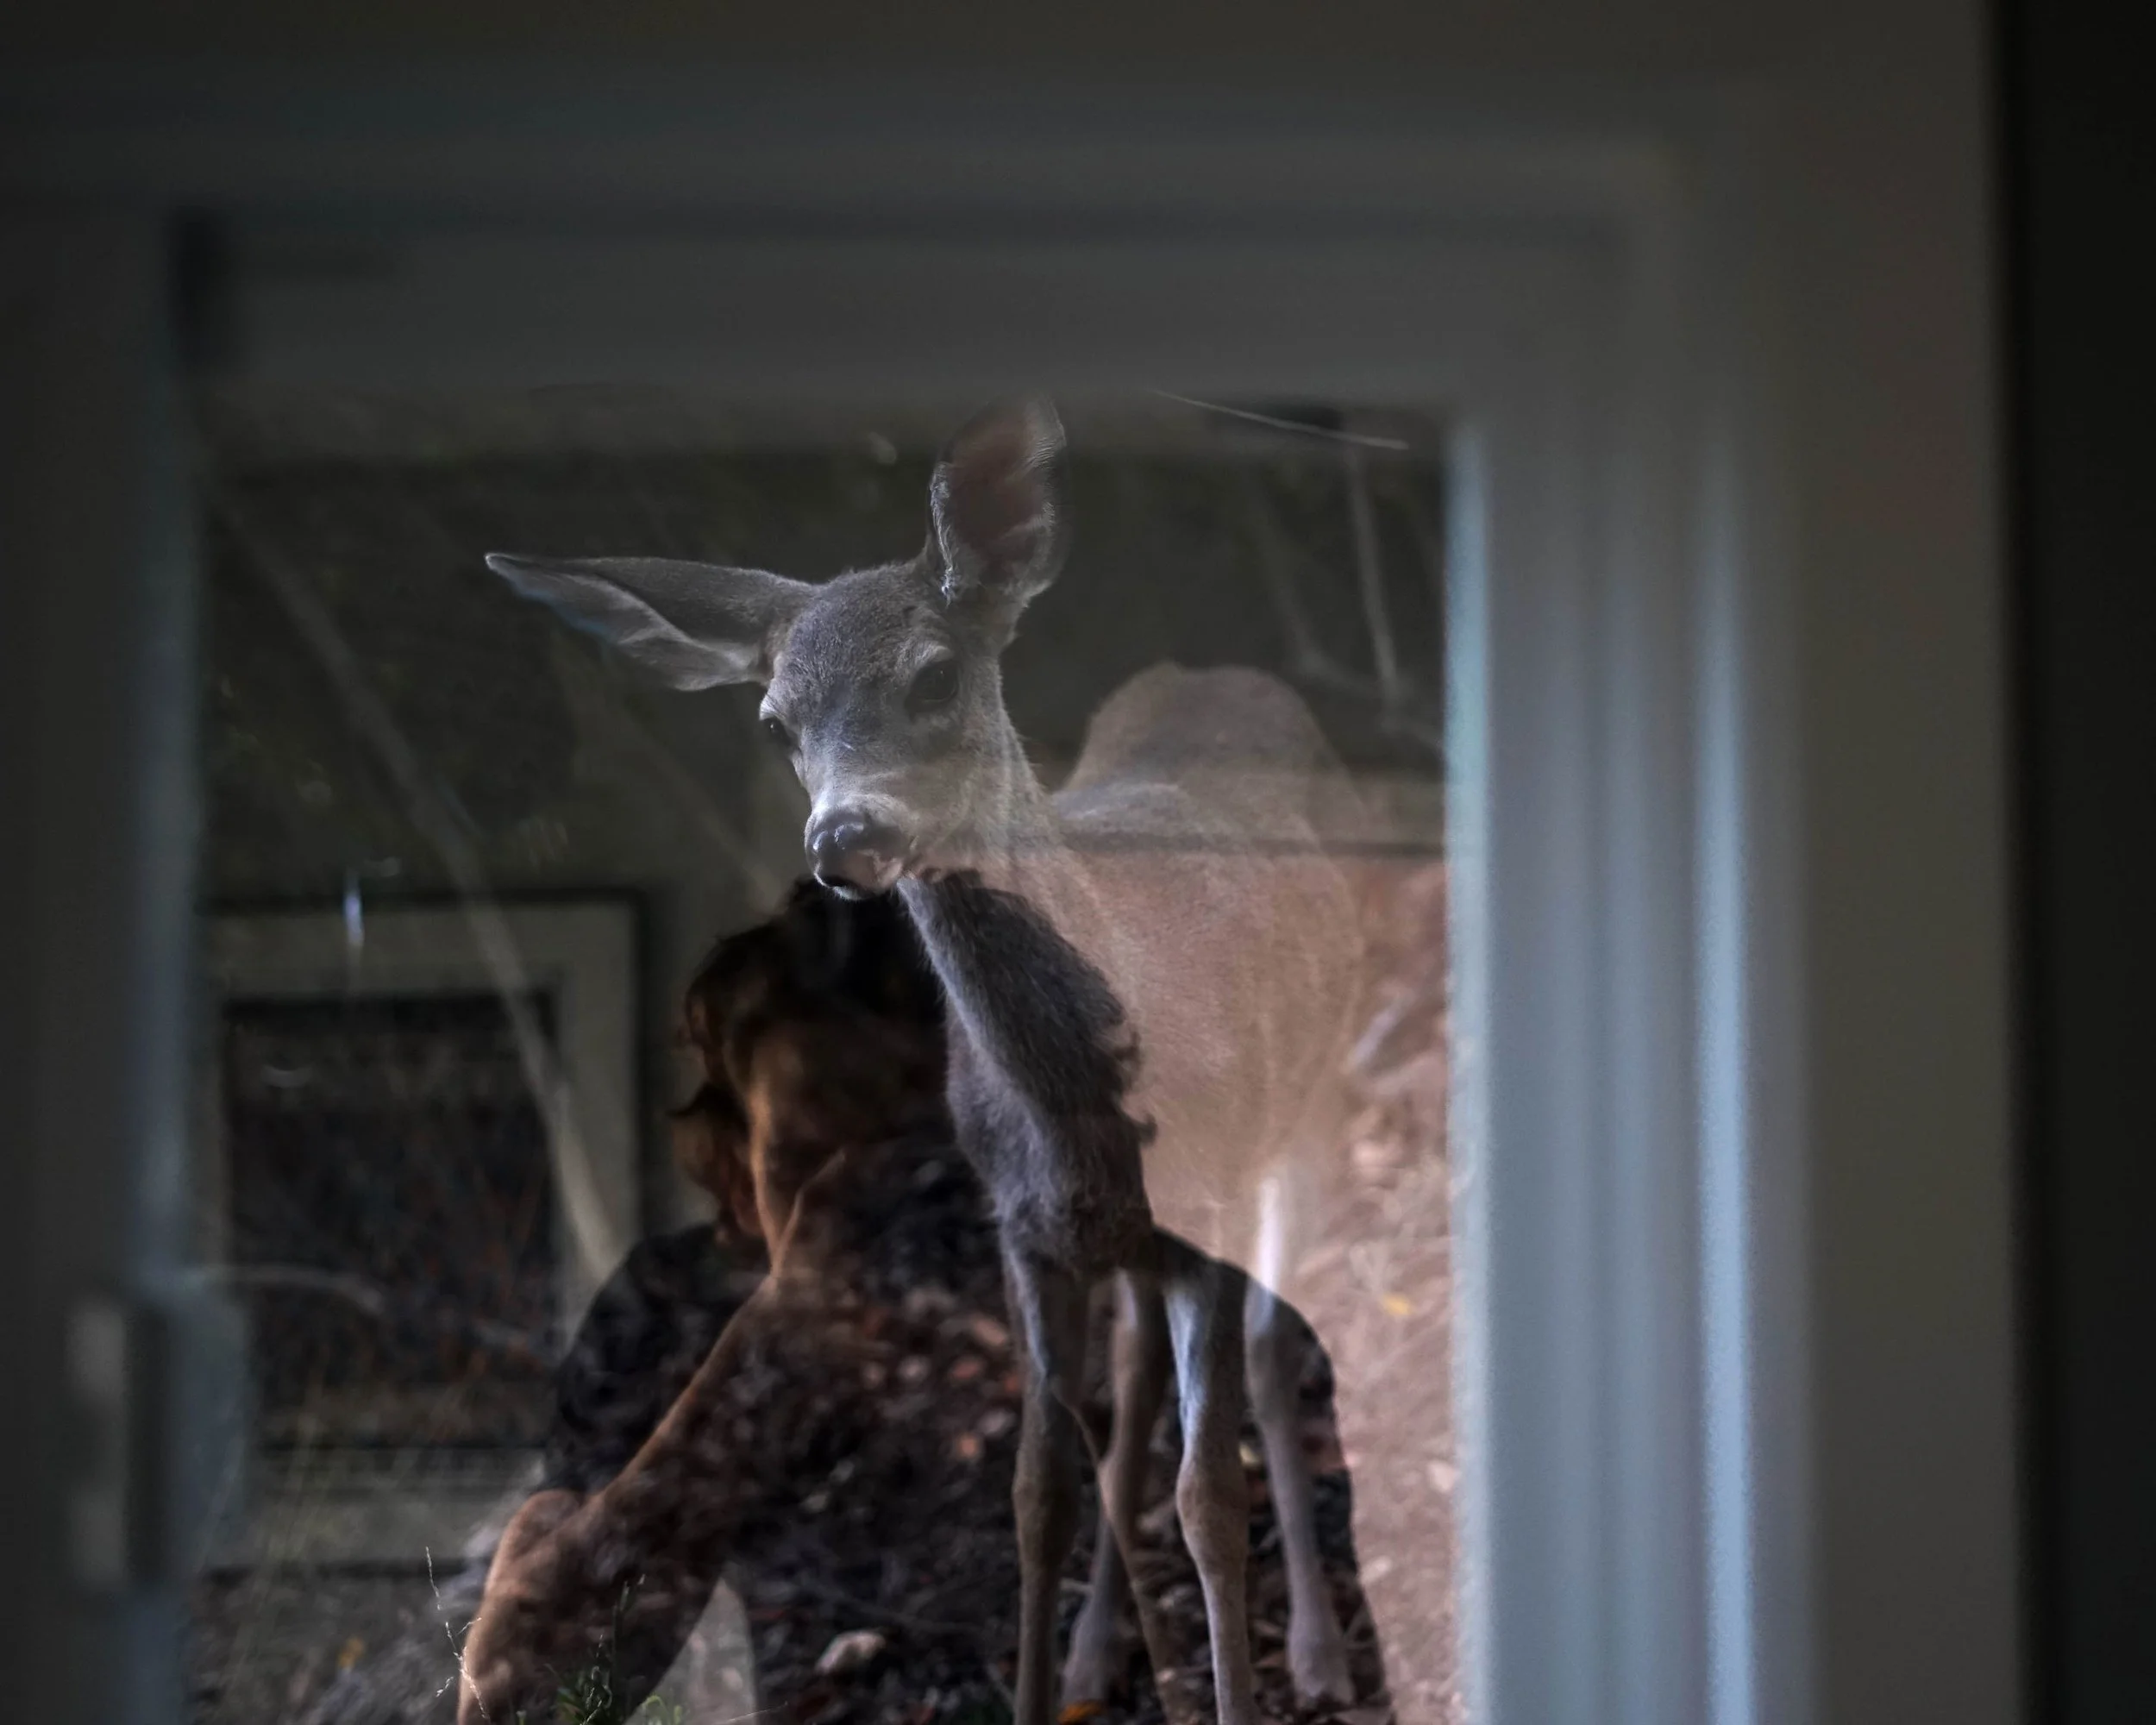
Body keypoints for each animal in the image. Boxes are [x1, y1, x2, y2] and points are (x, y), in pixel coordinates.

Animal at [488, 397, 1370, 1725]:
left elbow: (1211, 1496)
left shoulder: (1206, 1204)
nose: (845, 835)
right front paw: (1042, 1687)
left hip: (1309, 1112)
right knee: (1132, 1396)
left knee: (1273, 1357)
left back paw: (1316, 1652)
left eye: (935, 673)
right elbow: (1037, 1489)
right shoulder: (1020, 1219)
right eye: (776, 720)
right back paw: (1106, 1655)